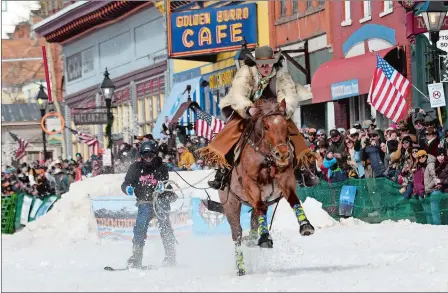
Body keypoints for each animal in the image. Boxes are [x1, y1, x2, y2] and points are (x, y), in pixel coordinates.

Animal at [218, 98, 316, 274]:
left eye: (286, 126)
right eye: (266, 126)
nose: (282, 154)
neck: (267, 158)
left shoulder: (286, 179)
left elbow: (294, 201)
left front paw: (305, 225)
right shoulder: (250, 183)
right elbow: (261, 208)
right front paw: (265, 237)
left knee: (253, 221)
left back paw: (251, 238)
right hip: (230, 204)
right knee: (237, 233)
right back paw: (241, 268)